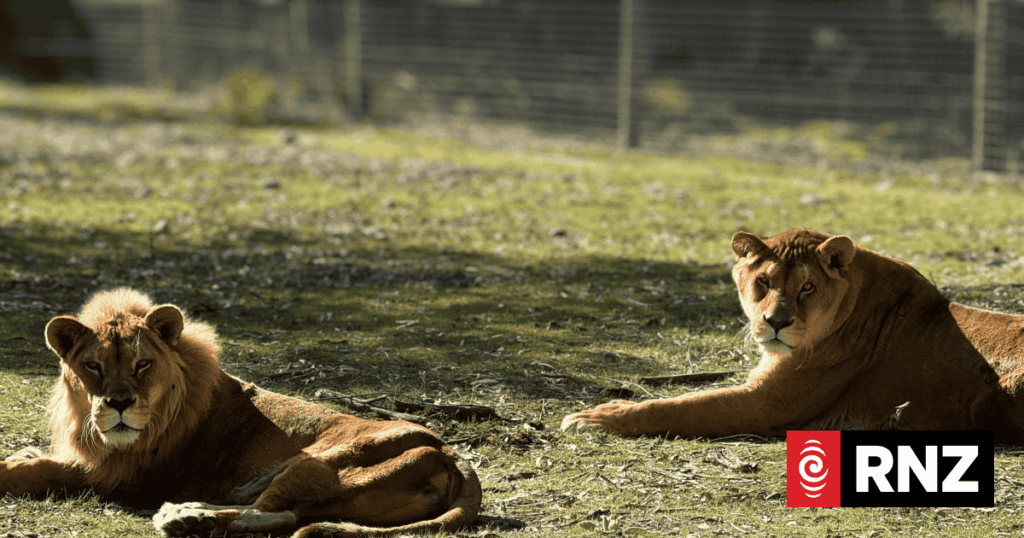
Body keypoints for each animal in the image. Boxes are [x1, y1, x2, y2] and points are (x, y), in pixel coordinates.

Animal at [0, 288, 481, 538]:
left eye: (143, 364)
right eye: (94, 366)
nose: (119, 403)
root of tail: (453, 456)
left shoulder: (123, 474)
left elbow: (43, 472)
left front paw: (15, 467)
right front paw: (24, 454)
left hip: (321, 463)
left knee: (279, 516)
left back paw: (184, 518)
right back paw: (192, 510)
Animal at [562, 228, 1024, 443]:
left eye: (808, 287)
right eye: (763, 282)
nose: (776, 322)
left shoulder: (767, 405)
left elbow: (682, 407)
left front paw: (598, 416)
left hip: (989, 402)